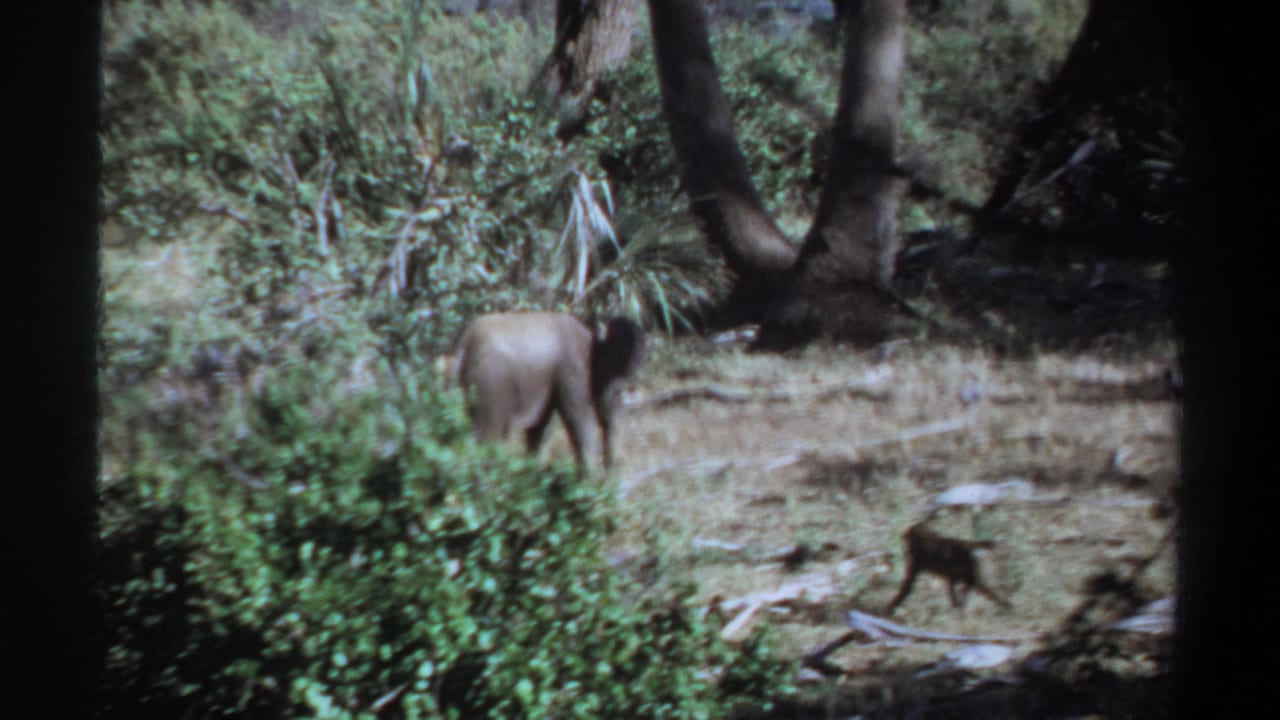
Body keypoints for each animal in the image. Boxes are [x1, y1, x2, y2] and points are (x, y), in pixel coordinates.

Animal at [455, 312, 645, 472]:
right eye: (617, 391)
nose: (619, 464)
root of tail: (464, 346)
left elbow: (540, 429)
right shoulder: (572, 373)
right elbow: (581, 421)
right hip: (490, 387)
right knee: (488, 437)